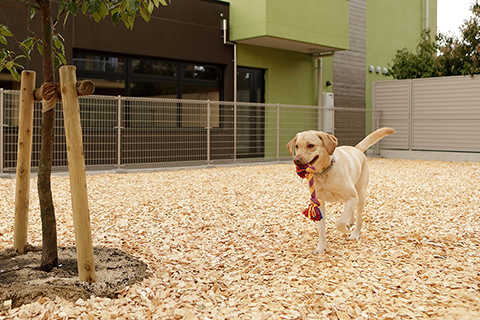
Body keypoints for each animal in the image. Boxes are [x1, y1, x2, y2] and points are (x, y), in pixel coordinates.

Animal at [288, 126, 394, 254]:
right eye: (297, 146)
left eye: (311, 145)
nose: (296, 160)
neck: (325, 173)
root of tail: (356, 149)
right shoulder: (320, 204)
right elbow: (322, 229)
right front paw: (320, 248)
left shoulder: (352, 196)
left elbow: (340, 222)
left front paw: (346, 229)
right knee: (351, 211)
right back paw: (350, 221)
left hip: (360, 196)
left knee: (359, 219)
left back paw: (354, 234)